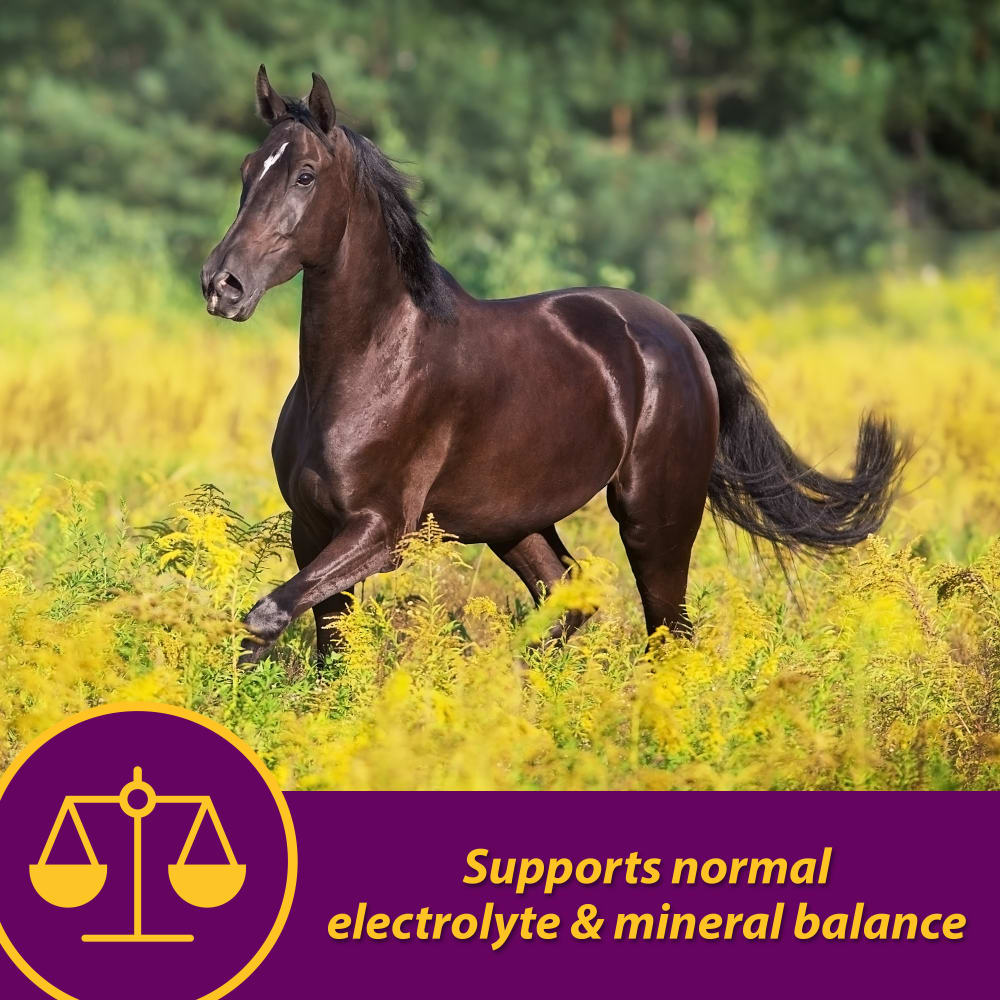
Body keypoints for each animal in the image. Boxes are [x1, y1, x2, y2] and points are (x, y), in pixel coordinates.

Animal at [202, 67, 908, 665]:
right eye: (246, 169)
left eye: (305, 175)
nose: (222, 285)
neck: (366, 367)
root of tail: (675, 330)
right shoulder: (313, 526)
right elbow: (325, 644)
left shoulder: (381, 531)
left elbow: (266, 615)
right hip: (516, 523)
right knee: (570, 600)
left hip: (654, 515)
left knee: (668, 630)